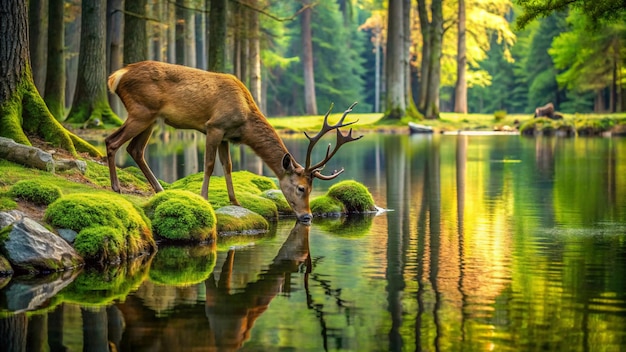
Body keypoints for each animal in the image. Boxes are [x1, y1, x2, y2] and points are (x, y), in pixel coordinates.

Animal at [106, 60, 360, 224]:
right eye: (301, 188)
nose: (307, 216)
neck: (245, 121)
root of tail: (115, 76)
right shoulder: (214, 127)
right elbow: (209, 165)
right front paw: (204, 198)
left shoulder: (227, 136)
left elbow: (227, 166)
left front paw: (235, 202)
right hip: (141, 110)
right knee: (111, 141)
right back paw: (117, 187)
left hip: (151, 117)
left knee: (135, 149)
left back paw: (159, 189)